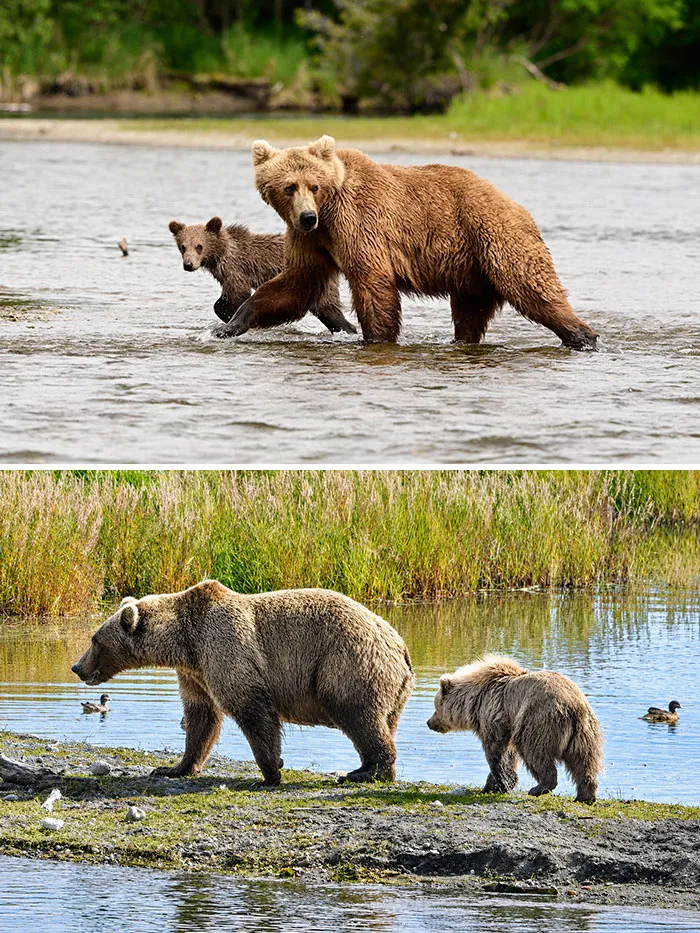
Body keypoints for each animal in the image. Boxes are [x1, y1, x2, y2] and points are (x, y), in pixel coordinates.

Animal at [71, 580, 414, 785]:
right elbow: (201, 719)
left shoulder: (226, 647)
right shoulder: (196, 673)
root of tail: (400, 645)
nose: (76, 667)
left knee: (356, 714)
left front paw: (271, 771)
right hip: (389, 686)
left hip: (348, 662)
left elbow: (250, 708)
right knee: (381, 721)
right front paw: (174, 767)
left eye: (95, 640)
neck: (185, 643)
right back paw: (377, 771)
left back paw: (363, 772)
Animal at [168, 216, 356, 334]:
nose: (188, 265)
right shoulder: (224, 274)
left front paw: (230, 313)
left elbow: (236, 296)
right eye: (183, 246)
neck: (220, 254)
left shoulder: (236, 269)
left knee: (327, 309)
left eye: (199, 246)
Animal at [215, 136, 597, 350]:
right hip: (470, 271)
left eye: (315, 185)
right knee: (470, 314)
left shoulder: (358, 223)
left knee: (532, 288)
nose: (307, 216)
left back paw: (583, 338)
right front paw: (229, 325)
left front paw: (375, 339)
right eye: (289, 186)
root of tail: (518, 207)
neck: (329, 210)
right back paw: (460, 342)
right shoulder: (314, 242)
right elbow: (294, 284)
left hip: (496, 238)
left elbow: (373, 282)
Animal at [427, 655, 603, 803]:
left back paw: (539, 788)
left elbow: (498, 753)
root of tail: (573, 706)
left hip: (539, 720)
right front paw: (491, 785)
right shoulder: (508, 723)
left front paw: (502, 784)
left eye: (436, 707)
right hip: (584, 732)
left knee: (534, 752)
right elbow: (509, 756)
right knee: (585, 761)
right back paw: (585, 796)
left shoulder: (496, 715)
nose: (429, 722)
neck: (476, 701)